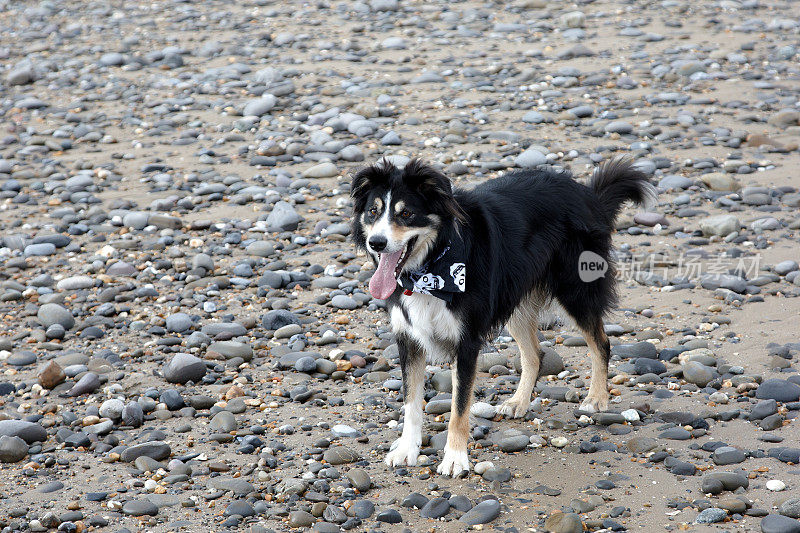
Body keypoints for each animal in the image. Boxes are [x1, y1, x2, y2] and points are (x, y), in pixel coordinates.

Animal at [350, 157, 656, 474]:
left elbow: (459, 407)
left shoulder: (467, 341)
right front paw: (406, 450)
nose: (377, 243)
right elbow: (411, 403)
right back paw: (518, 402)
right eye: (373, 212)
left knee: (601, 343)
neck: (432, 265)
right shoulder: (408, 339)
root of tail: (587, 194)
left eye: (407, 213)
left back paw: (596, 398)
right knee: (534, 355)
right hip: (516, 302)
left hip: (576, 290)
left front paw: (455, 458)